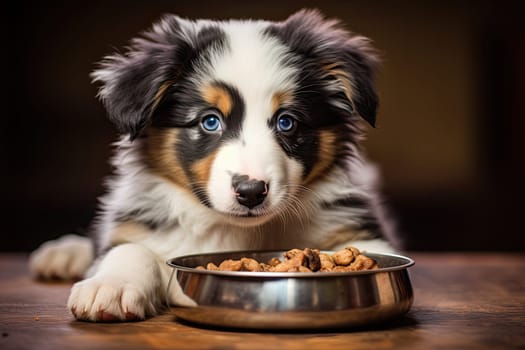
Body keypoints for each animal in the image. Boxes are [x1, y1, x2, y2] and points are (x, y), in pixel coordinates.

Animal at [28, 9, 398, 322]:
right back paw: (62, 254)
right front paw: (111, 286)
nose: (251, 192)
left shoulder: (358, 232)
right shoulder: (138, 225)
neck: (239, 231)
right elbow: (129, 247)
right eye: (210, 121)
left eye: (286, 122)